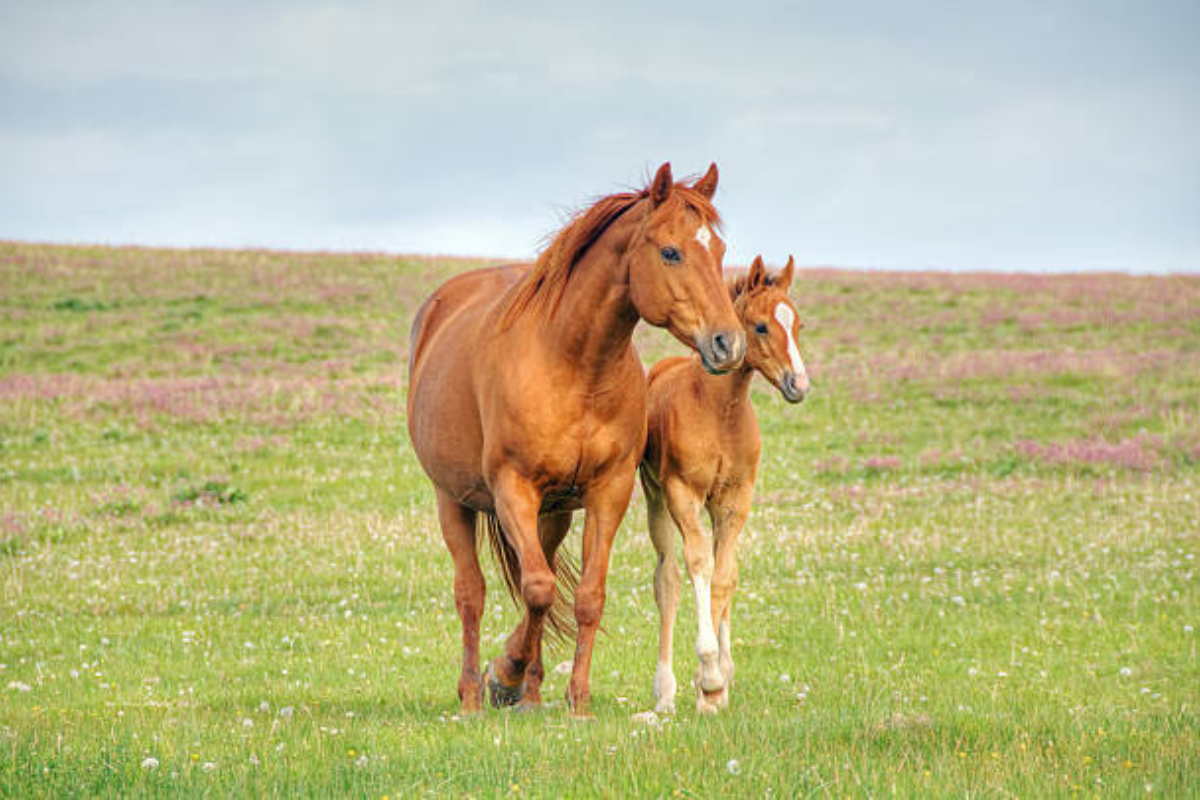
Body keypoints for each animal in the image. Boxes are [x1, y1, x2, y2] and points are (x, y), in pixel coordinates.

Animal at [408, 163, 744, 719]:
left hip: (553, 514)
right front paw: (505, 674)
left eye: (718, 250)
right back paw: (474, 694)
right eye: (671, 252)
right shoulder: (513, 489)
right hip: (452, 500)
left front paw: (576, 700)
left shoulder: (607, 492)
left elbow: (584, 597)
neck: (575, 365)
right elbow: (539, 589)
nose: (728, 342)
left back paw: (530, 692)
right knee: (472, 593)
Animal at [638, 255, 806, 714]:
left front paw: (714, 687)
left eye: (799, 324)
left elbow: (725, 576)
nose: (799, 384)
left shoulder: (736, 498)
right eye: (762, 326)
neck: (719, 411)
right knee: (668, 579)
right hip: (656, 499)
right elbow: (699, 565)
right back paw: (665, 691)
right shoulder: (682, 493)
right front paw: (709, 674)